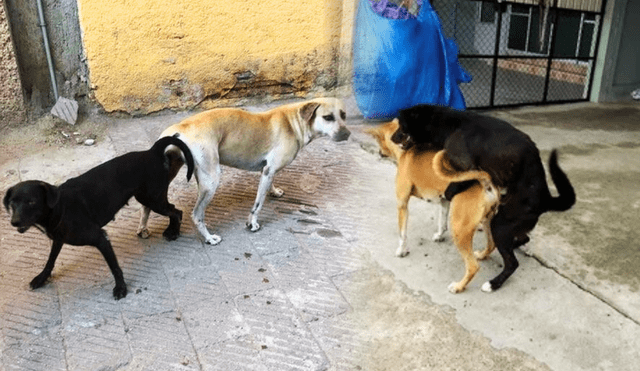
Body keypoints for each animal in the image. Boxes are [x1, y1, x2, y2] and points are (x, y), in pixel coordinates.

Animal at [3, 135, 194, 300]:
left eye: (31, 202)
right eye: (12, 203)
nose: (14, 222)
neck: (60, 208)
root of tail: (151, 151)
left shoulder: (101, 238)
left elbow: (115, 267)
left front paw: (121, 288)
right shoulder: (58, 239)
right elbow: (50, 260)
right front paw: (41, 278)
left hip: (153, 200)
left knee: (177, 211)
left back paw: (173, 232)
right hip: (148, 198)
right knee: (174, 210)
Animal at [137, 97, 352, 246]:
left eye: (343, 115)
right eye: (327, 117)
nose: (347, 134)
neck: (293, 122)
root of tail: (178, 129)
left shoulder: (267, 170)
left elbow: (269, 185)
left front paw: (274, 191)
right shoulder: (269, 171)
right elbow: (257, 205)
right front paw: (252, 224)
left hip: (168, 173)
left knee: (148, 204)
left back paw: (143, 229)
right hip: (210, 181)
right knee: (197, 214)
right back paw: (209, 238)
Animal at [364, 120, 500, 294]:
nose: (379, 152)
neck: (407, 148)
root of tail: (485, 181)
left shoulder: (402, 204)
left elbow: (402, 234)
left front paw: (401, 250)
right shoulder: (444, 201)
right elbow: (441, 222)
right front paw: (439, 235)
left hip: (460, 230)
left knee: (473, 267)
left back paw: (458, 286)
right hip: (487, 221)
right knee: (491, 244)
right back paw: (482, 255)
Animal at [392, 104, 576, 290]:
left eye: (402, 126)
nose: (393, 138)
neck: (447, 123)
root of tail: (546, 198)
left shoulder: (465, 165)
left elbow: (457, 182)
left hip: (498, 225)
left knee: (509, 262)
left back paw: (492, 284)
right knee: (521, 238)